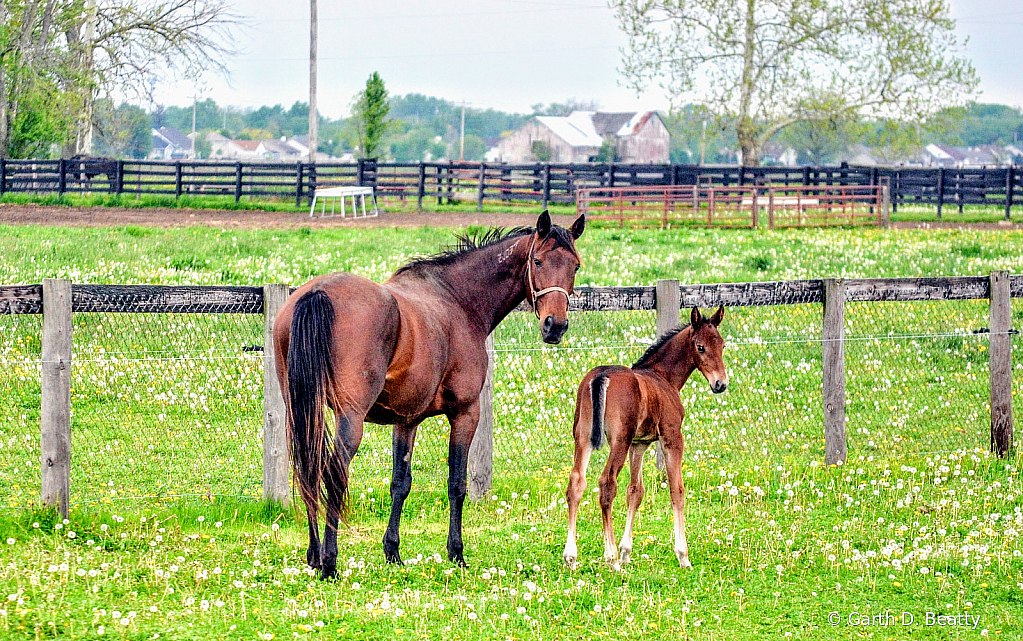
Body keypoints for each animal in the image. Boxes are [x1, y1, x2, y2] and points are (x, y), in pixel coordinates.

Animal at [560, 306, 728, 572]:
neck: (663, 377)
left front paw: (626, 552)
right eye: (700, 347)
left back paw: (571, 556)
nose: (720, 384)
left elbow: (635, 491)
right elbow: (677, 490)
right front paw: (683, 555)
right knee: (606, 484)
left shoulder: (639, 444)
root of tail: (601, 377)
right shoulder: (671, 438)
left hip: (583, 436)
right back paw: (611, 558)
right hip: (619, 440)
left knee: (576, 482)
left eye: (722, 345)